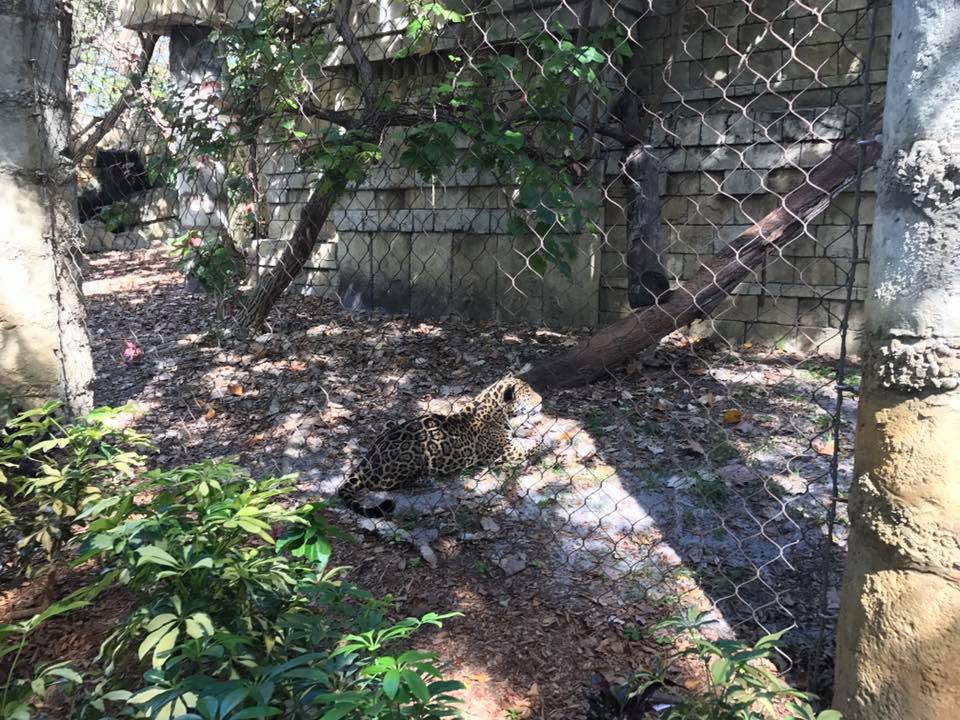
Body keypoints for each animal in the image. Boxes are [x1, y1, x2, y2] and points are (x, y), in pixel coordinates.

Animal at [338, 376, 543, 518]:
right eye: (529, 394)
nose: (541, 400)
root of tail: (365, 465)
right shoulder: (508, 451)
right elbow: (531, 448)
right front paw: (543, 445)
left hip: (389, 429)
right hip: (413, 454)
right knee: (388, 484)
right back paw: (425, 479)